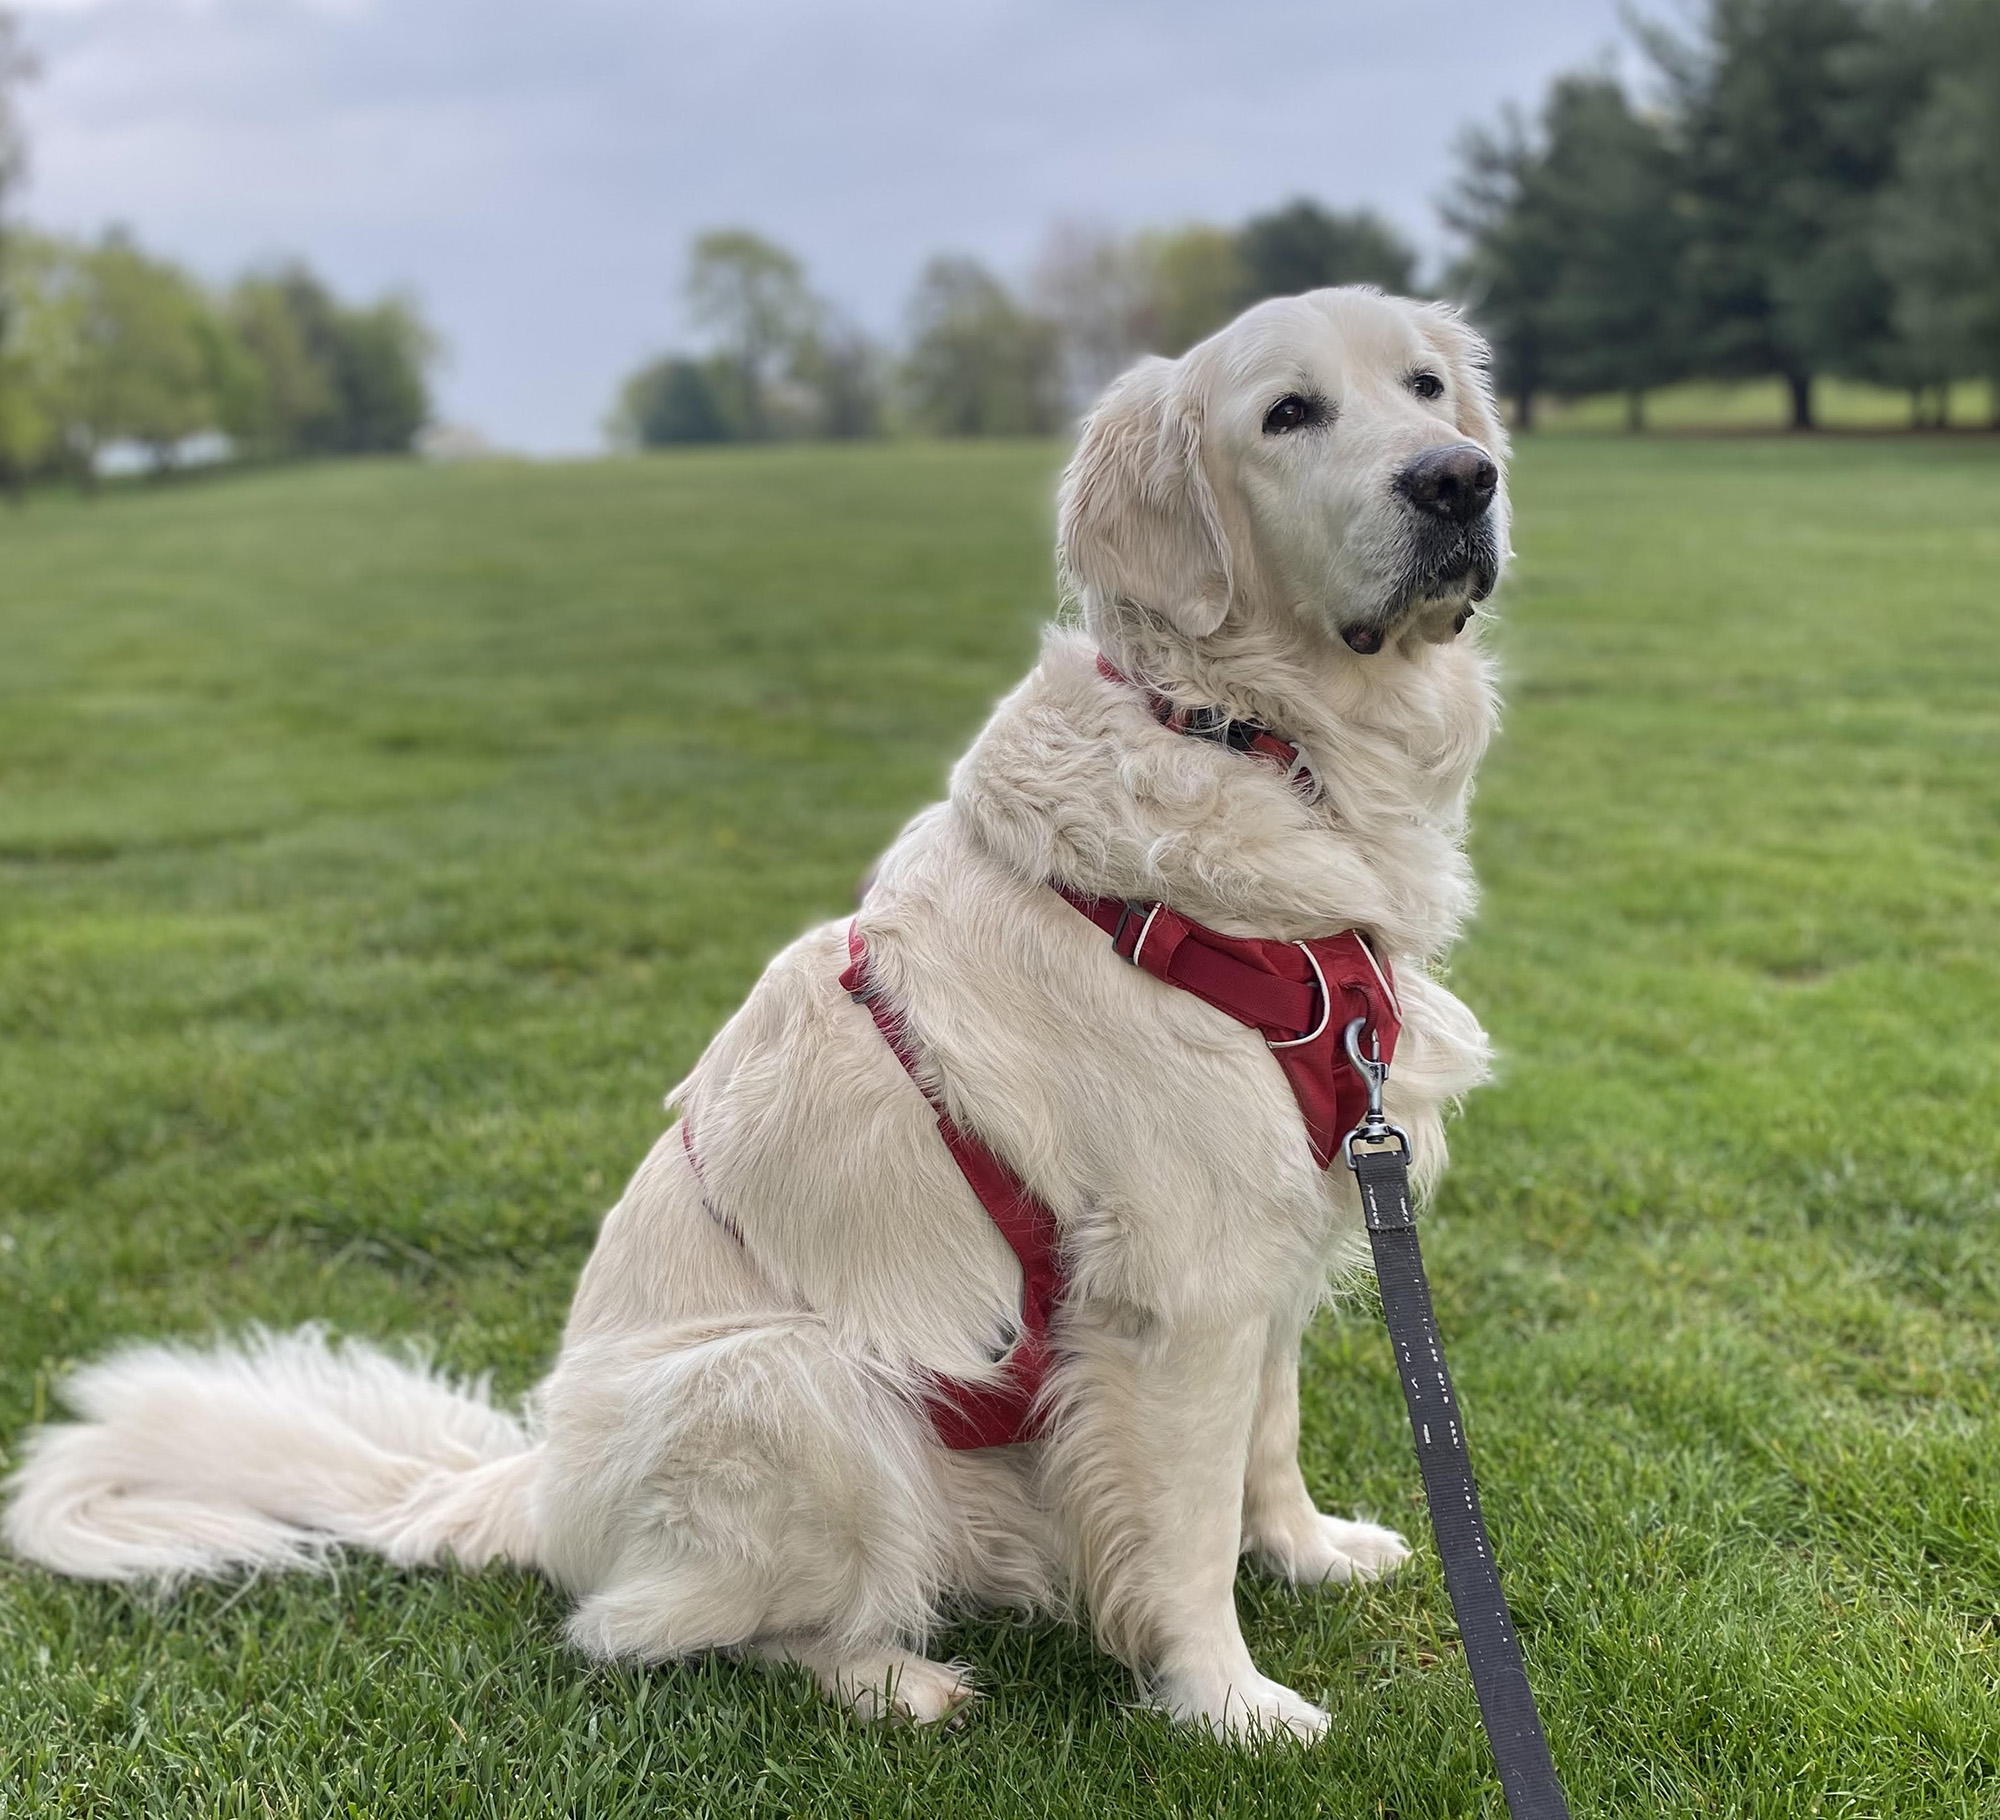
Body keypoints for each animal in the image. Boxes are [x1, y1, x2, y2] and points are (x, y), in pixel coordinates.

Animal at [0, 288, 1504, 1752]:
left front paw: (1306, 1551)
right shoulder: (1178, 1282)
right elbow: (1186, 1531)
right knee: (644, 1631)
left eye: (1424, 386)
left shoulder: (1282, 1229)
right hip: (803, 1382)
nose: (1459, 480)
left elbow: (1269, 1435)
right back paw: (890, 1678)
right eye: (1287, 413)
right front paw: (1229, 1703)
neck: (1250, 737)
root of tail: (537, 1488)